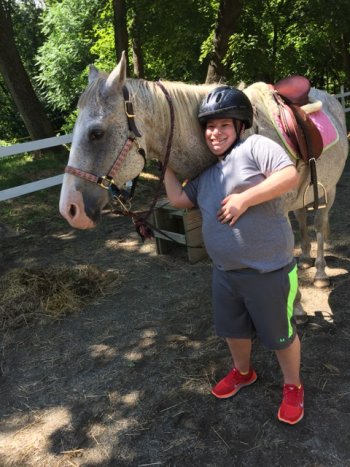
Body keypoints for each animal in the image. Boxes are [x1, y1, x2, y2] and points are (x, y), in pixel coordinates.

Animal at [59, 52, 348, 314]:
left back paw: (320, 273)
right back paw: (307, 257)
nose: (70, 209)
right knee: (302, 217)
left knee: (319, 223)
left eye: (97, 133)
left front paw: (295, 305)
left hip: (330, 190)